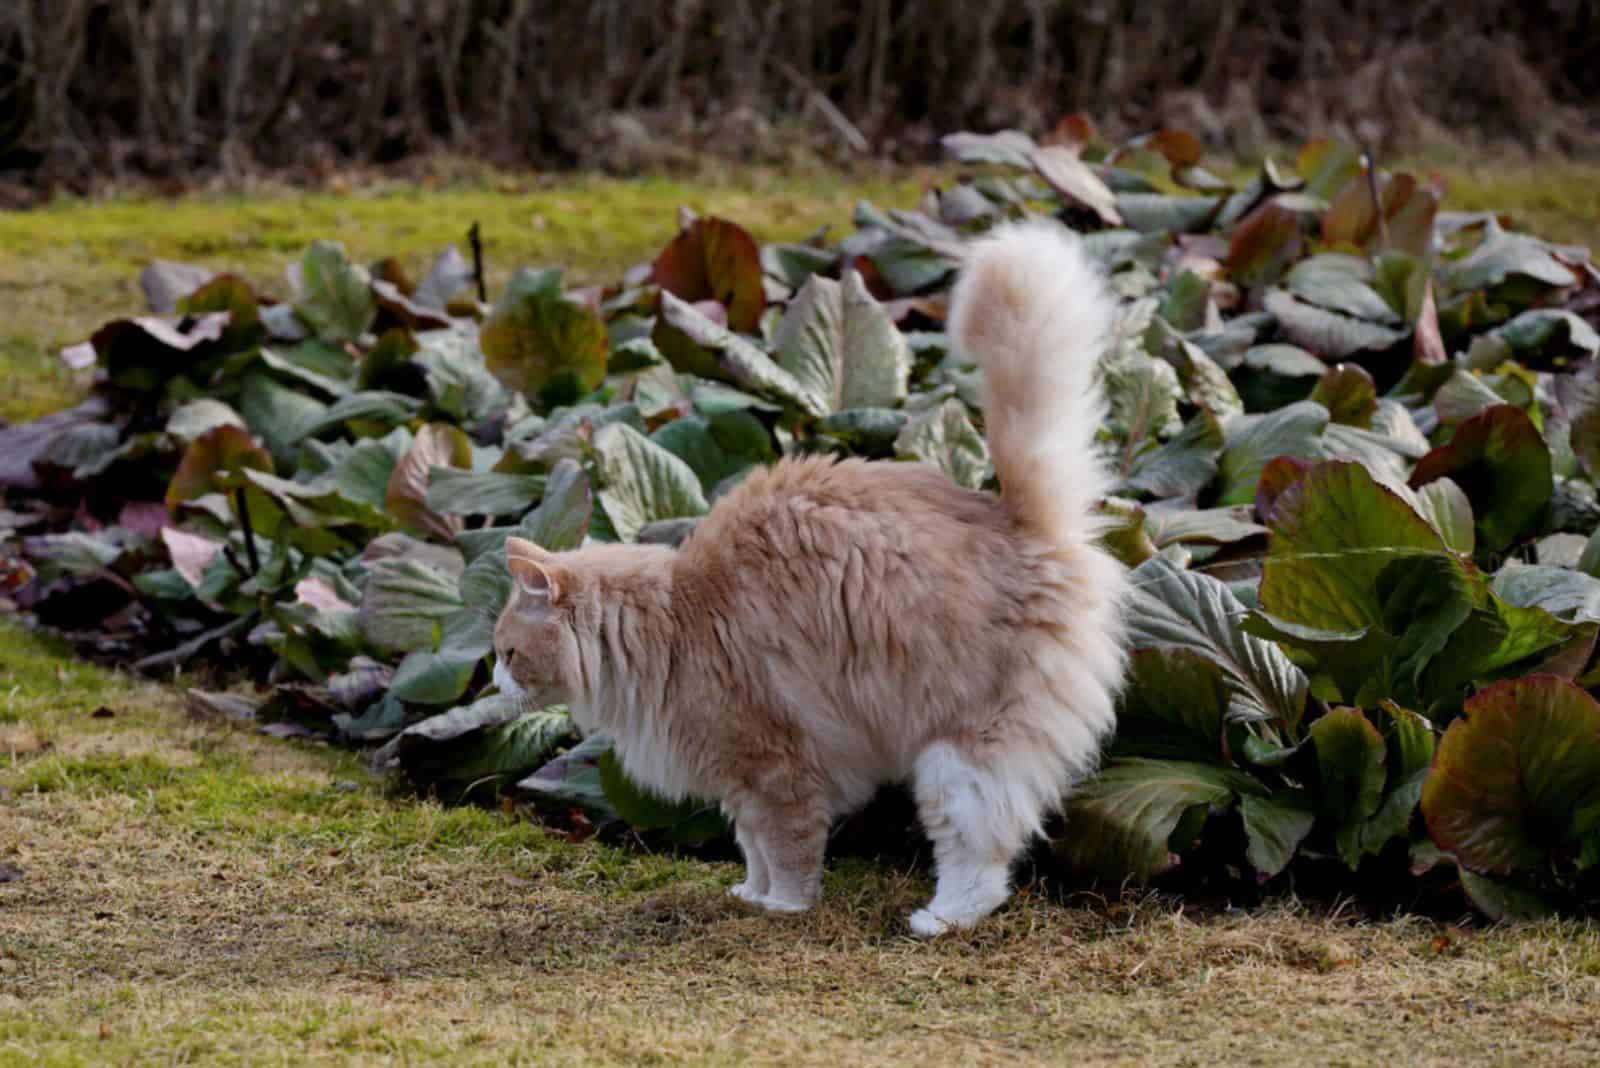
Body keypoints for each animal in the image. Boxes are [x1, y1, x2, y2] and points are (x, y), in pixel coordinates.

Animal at [492, 220, 1132, 940]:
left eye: (508, 652)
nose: (493, 683)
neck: (668, 622)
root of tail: (1021, 520)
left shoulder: (776, 765)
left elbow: (789, 850)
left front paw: (785, 907)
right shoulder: (739, 784)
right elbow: (752, 849)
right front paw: (750, 894)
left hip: (959, 756)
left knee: (979, 857)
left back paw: (939, 918)